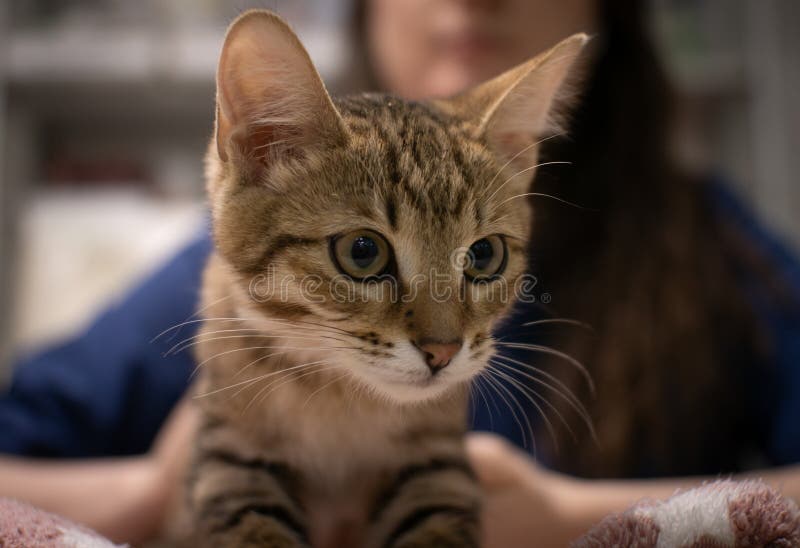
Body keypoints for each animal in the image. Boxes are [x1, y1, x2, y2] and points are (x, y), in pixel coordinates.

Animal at [188, 9, 588, 548]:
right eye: (363, 251)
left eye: (485, 255)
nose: (443, 352)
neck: (341, 400)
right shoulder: (228, 457)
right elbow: (254, 527)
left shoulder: (439, 464)